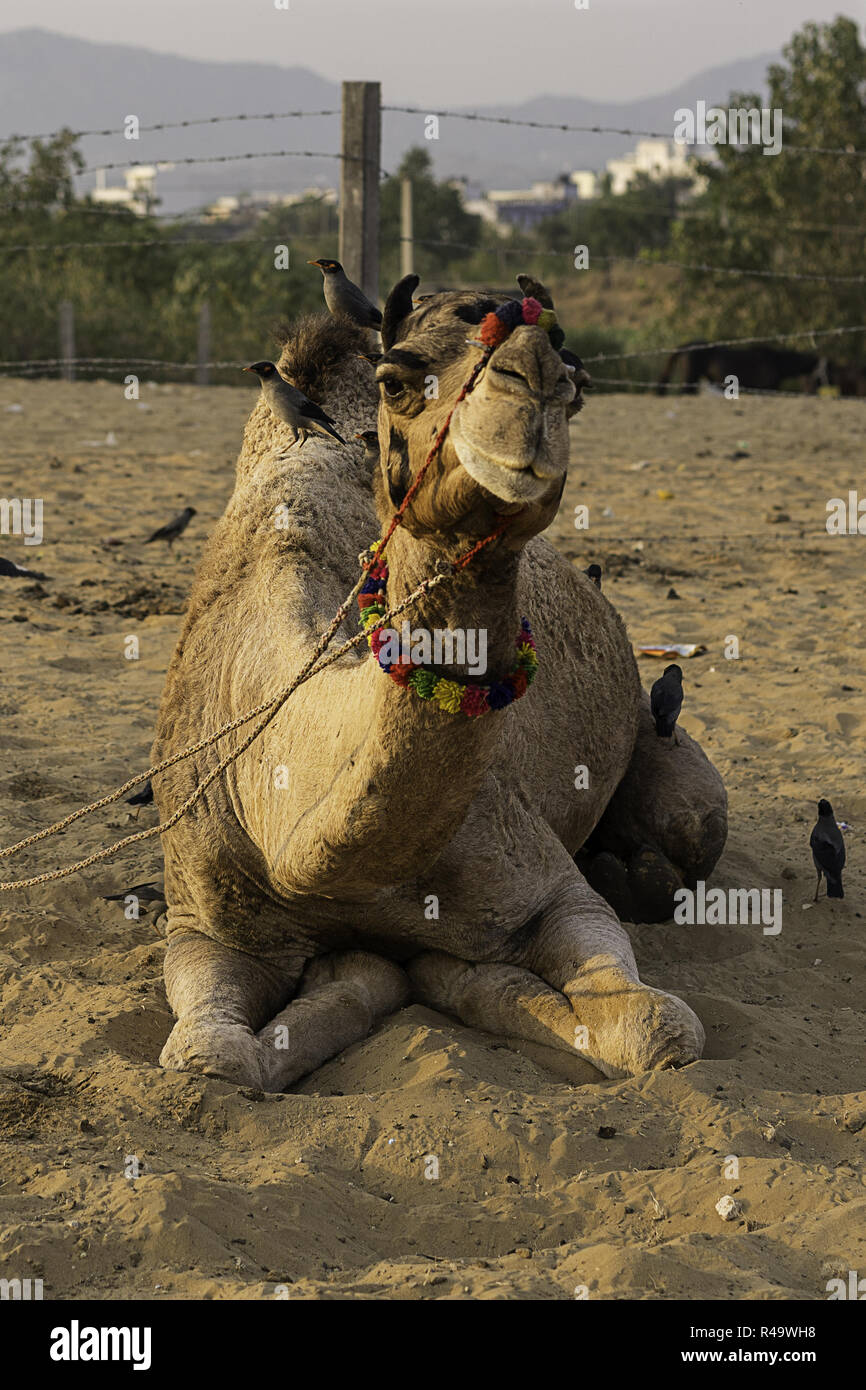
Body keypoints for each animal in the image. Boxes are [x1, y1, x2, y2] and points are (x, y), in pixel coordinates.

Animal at [152, 276, 728, 1089]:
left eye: (577, 384)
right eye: (396, 381)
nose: (534, 383)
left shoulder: (548, 888)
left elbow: (658, 1027)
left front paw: (446, 972)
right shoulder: (204, 926)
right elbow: (210, 1053)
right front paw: (366, 972)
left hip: (670, 755)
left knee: (689, 827)